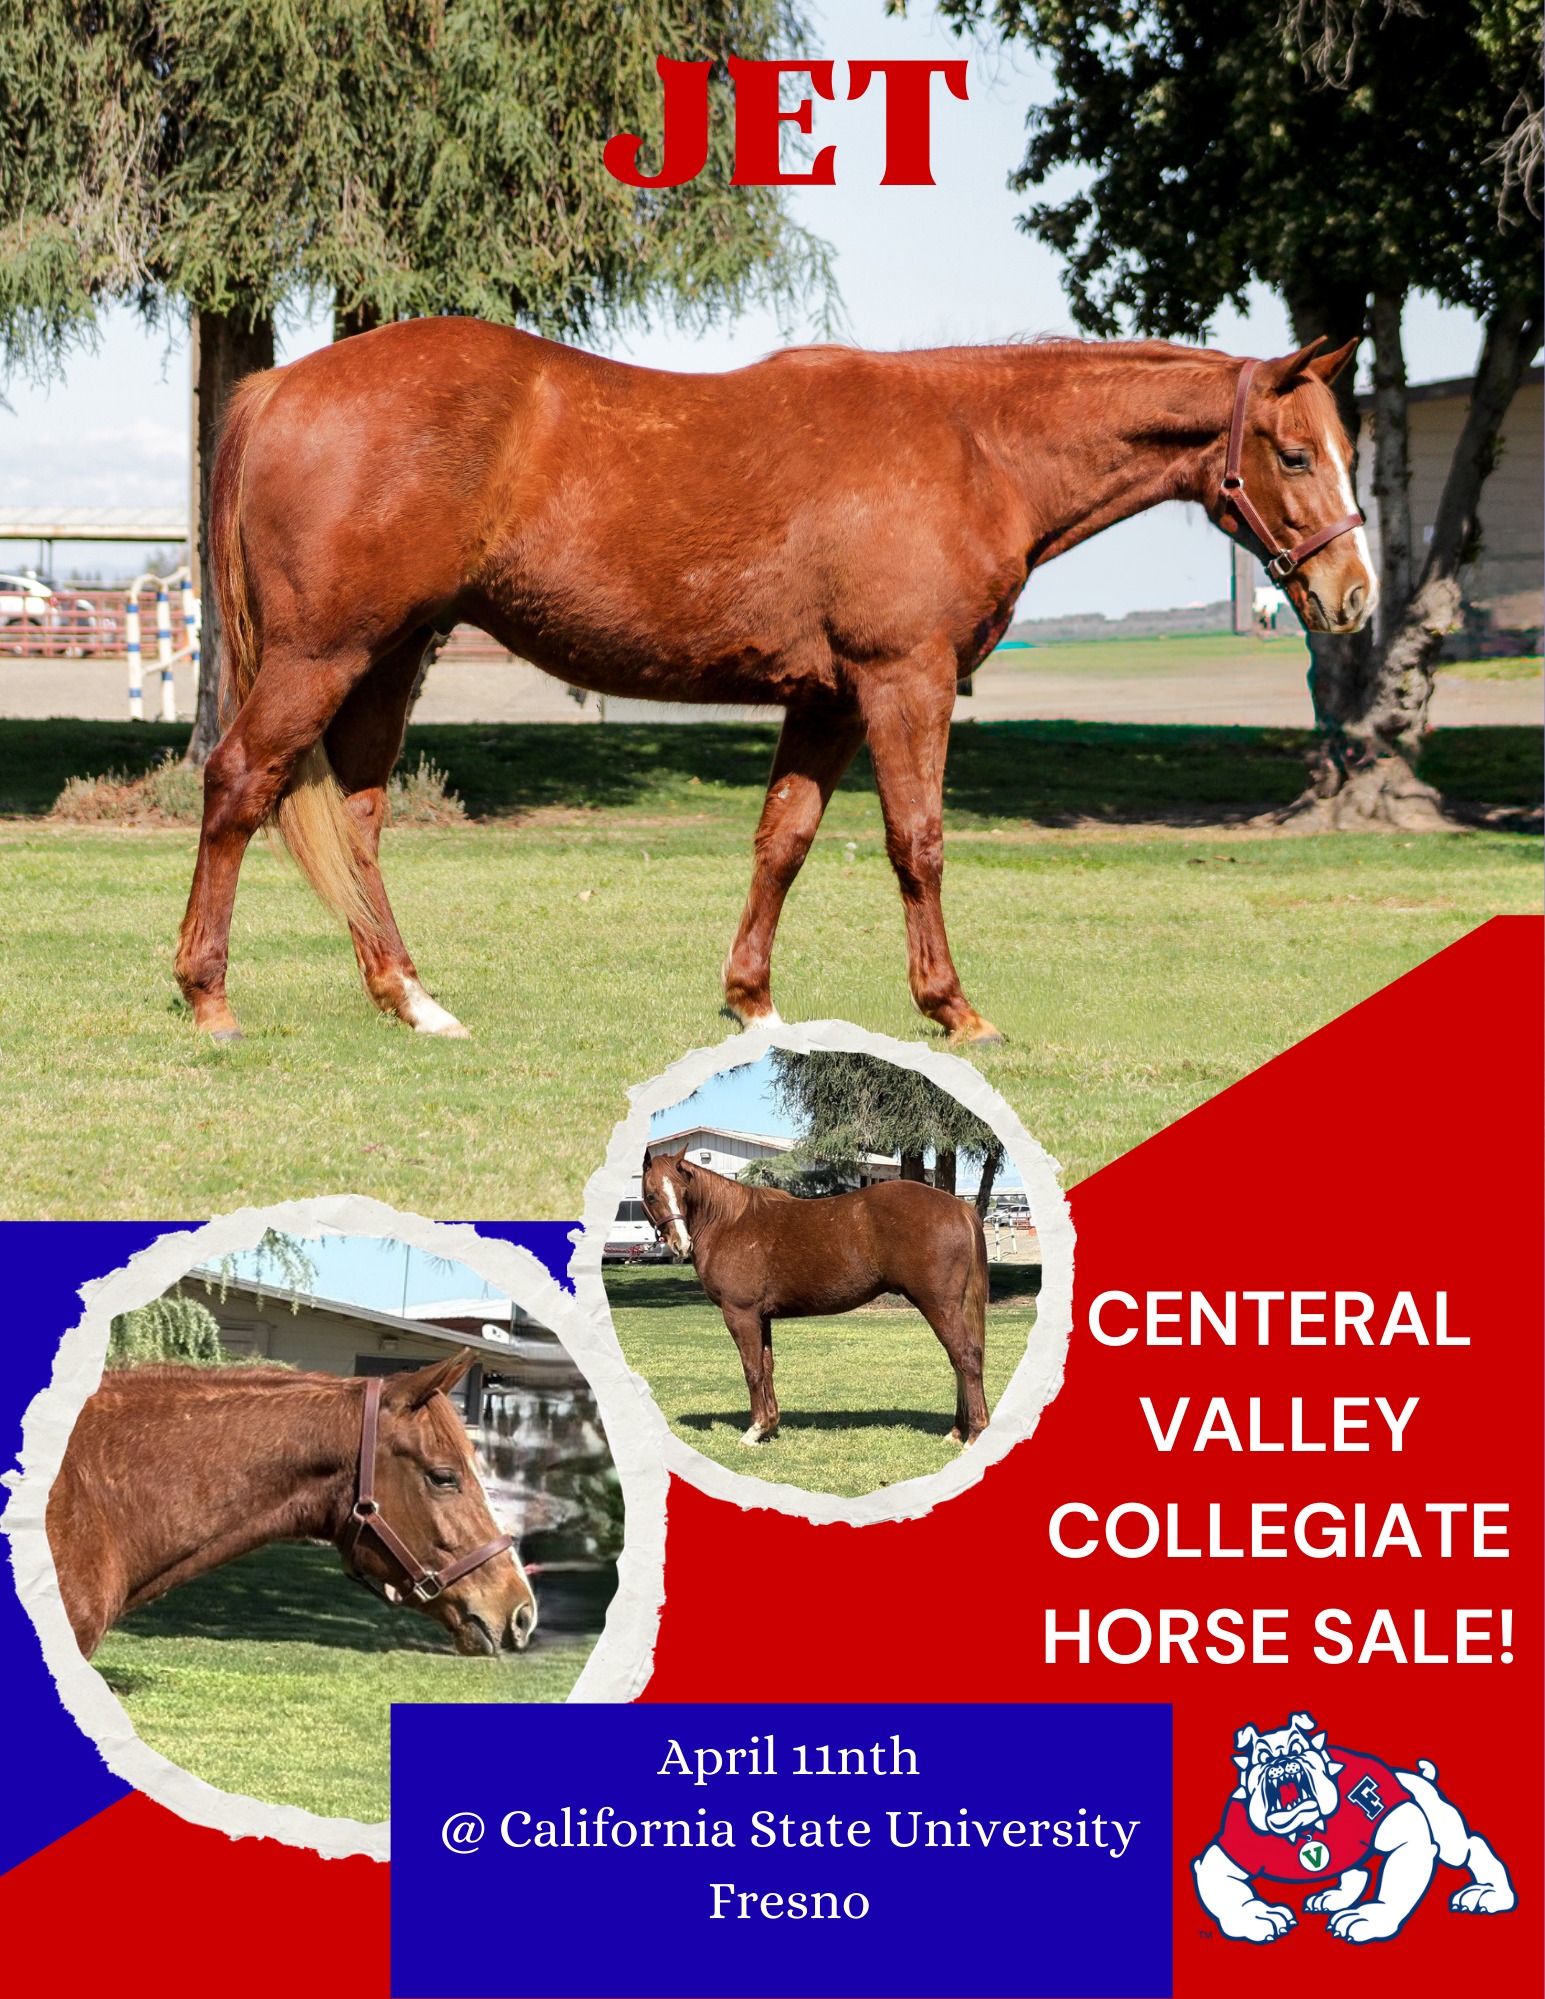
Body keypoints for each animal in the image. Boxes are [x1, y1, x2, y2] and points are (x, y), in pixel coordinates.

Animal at [174, 323, 1373, 1045]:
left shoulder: (828, 699)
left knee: (357, 821)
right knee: (238, 782)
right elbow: (916, 841)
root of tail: (282, 386)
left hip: (389, 657)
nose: (1352, 596)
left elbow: (783, 839)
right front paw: (954, 1009)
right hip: (323, 654)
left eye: (1346, 449)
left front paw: (751, 1000)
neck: (973, 445)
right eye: (1295, 455)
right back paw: (209, 995)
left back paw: (411, 997)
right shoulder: (903, 680)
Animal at [639, 1145, 992, 1447]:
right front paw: (769, 1425)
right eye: (652, 1195)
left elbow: (752, 1370)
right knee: (958, 1361)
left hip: (938, 1305)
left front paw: (753, 1431)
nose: (681, 1245)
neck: (728, 1222)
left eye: (684, 1192)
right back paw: (956, 1432)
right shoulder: (761, 1317)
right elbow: (767, 1367)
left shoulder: (741, 1314)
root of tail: (959, 1206)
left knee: (966, 1357)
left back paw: (974, 1434)